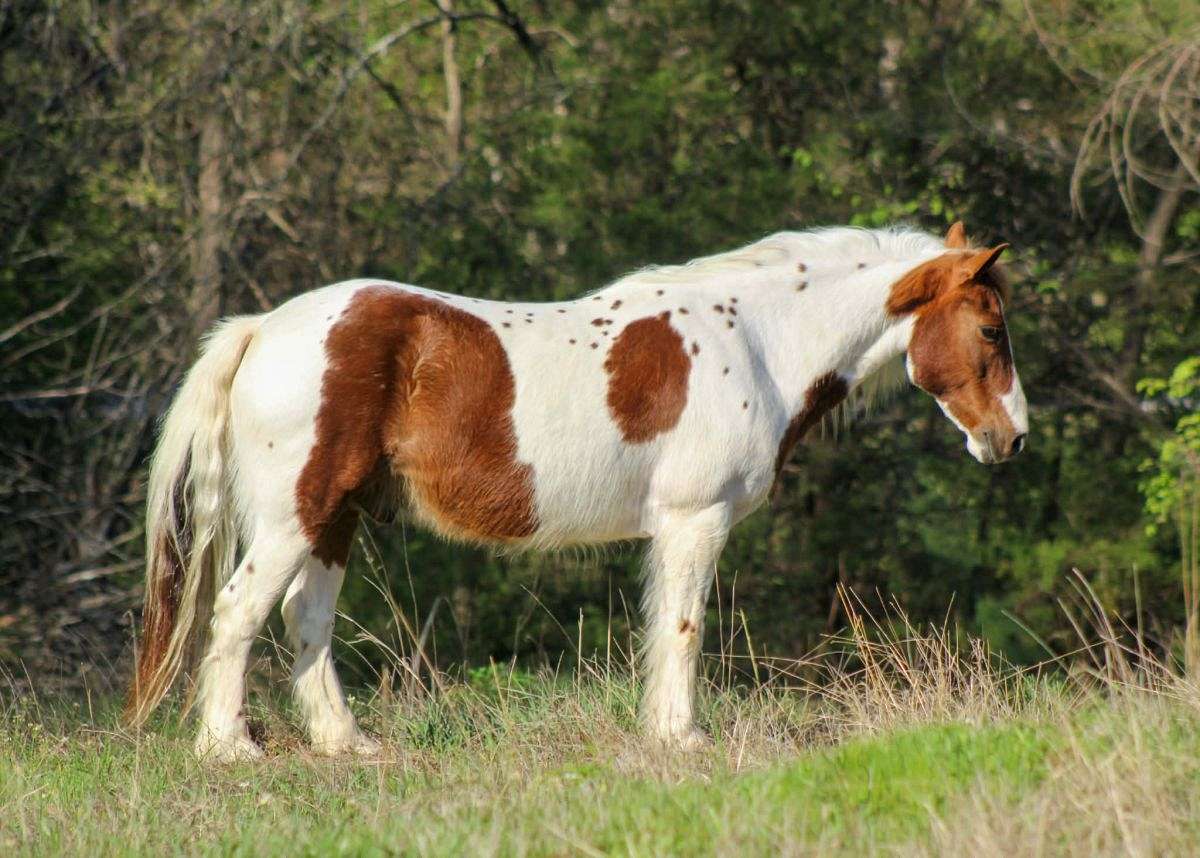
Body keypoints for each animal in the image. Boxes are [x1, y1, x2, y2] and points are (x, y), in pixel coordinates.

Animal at [125, 221, 1027, 761]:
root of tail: (261, 329)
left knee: (305, 618)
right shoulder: (696, 521)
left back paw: (347, 744)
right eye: (990, 328)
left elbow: (663, 628)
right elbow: (684, 629)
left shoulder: (674, 529)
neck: (756, 342)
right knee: (237, 614)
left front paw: (664, 733)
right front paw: (682, 739)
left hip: (332, 519)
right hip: (295, 515)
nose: (1012, 438)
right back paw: (229, 748)